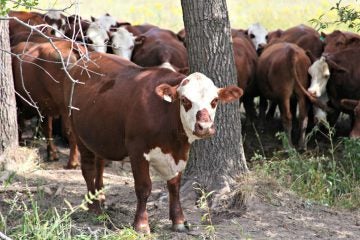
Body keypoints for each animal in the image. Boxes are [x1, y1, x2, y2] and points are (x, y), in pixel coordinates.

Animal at [11, 40, 85, 169]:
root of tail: (71, 46)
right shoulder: (45, 107)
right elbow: (47, 129)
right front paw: (52, 154)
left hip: (66, 108)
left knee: (71, 131)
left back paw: (72, 162)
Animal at [64, 52, 243, 232]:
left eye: (214, 101)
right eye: (185, 100)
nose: (204, 127)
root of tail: (89, 56)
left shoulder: (180, 153)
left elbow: (174, 186)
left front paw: (178, 220)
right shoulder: (137, 150)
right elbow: (144, 187)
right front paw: (141, 224)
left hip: (99, 136)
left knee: (99, 164)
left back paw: (100, 198)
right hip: (78, 132)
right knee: (88, 170)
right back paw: (94, 207)